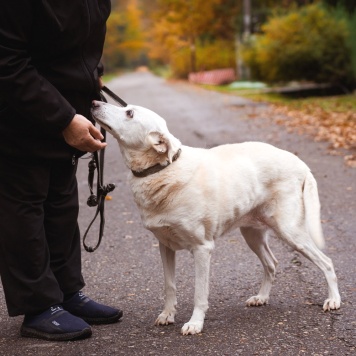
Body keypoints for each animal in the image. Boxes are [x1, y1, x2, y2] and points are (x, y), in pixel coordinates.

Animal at [90, 101, 340, 336]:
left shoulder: (202, 248)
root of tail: (301, 164)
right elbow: (169, 286)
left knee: (326, 262)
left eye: (129, 113)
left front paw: (195, 323)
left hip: (290, 231)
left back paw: (334, 300)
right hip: (252, 234)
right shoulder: (165, 246)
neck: (162, 170)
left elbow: (199, 293)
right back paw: (261, 297)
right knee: (272, 263)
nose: (94, 103)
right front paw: (167, 314)